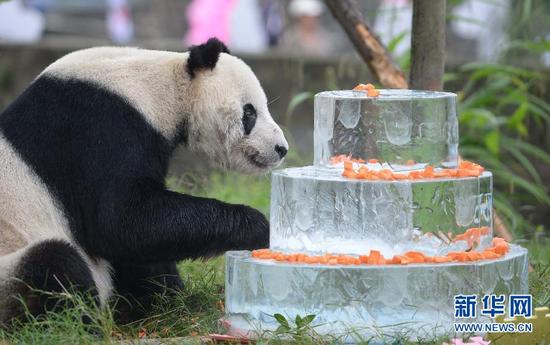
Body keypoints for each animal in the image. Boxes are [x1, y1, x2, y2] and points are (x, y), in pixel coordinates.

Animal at [0, 37, 292, 322]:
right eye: (249, 112)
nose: (281, 149)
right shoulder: (99, 128)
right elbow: (121, 220)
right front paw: (259, 228)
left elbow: (141, 242)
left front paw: (168, 298)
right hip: (12, 263)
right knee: (53, 266)